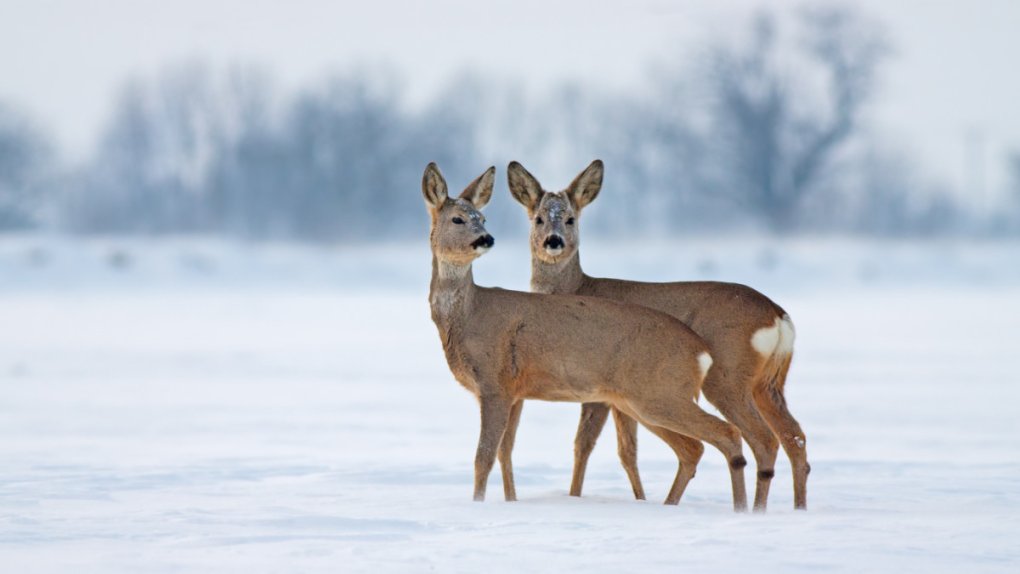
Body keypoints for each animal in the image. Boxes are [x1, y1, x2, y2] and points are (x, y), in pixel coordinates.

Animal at [422, 162, 750, 511]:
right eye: (458, 219)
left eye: (481, 218)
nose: (486, 238)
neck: (469, 317)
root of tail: (701, 350)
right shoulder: (513, 391)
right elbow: (504, 453)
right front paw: (510, 501)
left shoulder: (494, 383)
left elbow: (482, 457)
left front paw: (478, 505)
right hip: (640, 399)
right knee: (693, 448)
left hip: (660, 393)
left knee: (726, 433)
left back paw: (742, 510)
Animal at [505, 159, 807, 509]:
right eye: (538, 217)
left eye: (570, 218)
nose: (553, 241)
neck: (577, 288)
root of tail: (778, 315)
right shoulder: (617, 396)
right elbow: (626, 451)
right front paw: (639, 499)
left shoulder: (600, 391)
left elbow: (587, 445)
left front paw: (576, 497)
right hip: (768, 383)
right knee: (795, 437)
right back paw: (797, 507)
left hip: (727, 377)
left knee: (762, 439)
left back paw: (752, 509)